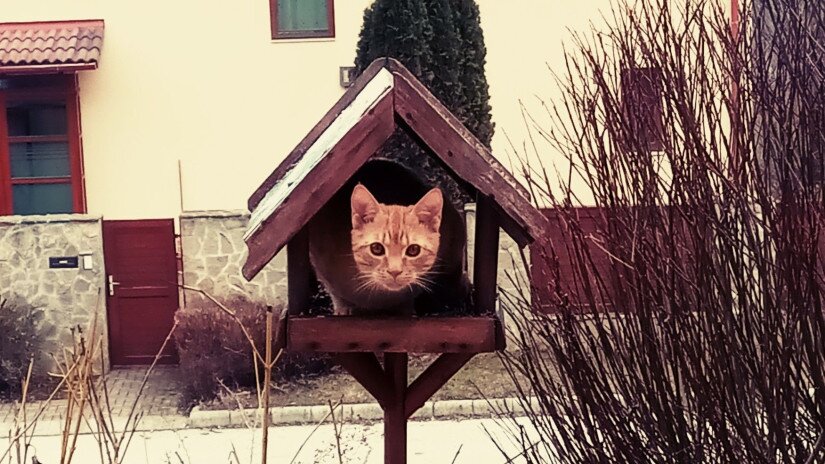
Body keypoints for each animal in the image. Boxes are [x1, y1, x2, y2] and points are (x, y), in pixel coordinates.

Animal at [306, 159, 466, 316]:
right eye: (376, 248)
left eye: (413, 250)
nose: (394, 271)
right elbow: (335, 293)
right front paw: (343, 309)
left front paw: (405, 309)